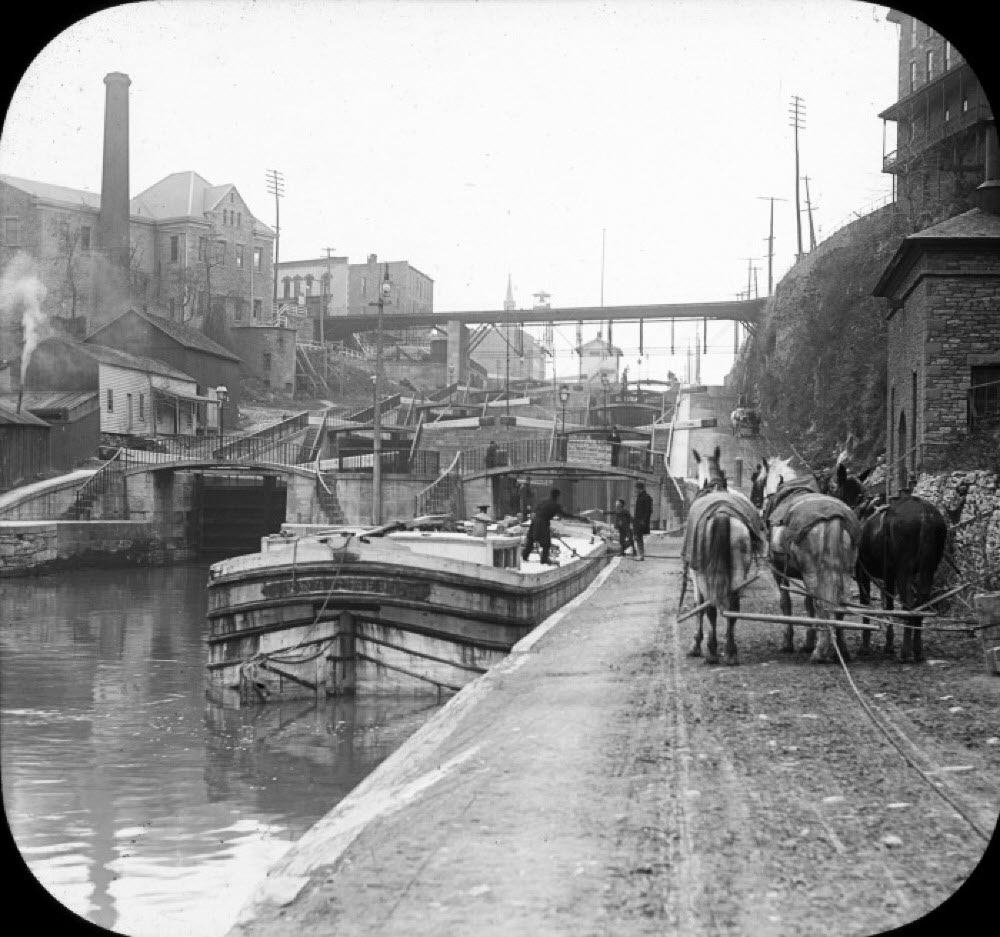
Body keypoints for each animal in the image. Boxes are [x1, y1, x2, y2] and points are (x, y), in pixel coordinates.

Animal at [756, 458, 860, 660]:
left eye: (759, 480)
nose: (759, 506)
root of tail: (833, 516)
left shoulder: (778, 571)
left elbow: (787, 604)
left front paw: (789, 643)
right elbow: (807, 604)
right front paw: (809, 640)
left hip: (811, 572)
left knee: (820, 603)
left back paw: (820, 651)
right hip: (844, 572)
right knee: (839, 604)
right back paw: (841, 648)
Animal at [852, 494, 944, 660]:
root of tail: (925, 515)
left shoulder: (862, 573)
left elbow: (866, 607)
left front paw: (865, 646)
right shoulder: (889, 576)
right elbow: (889, 607)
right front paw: (888, 645)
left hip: (904, 569)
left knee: (908, 604)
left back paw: (905, 652)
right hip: (929, 567)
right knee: (920, 603)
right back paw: (917, 650)